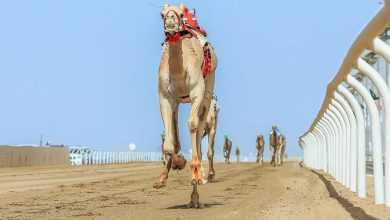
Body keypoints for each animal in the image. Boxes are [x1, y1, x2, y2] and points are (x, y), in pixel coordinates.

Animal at [154, 3, 218, 208]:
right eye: (161, 14)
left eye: (181, 14)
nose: (171, 22)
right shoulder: (165, 98)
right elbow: (170, 143)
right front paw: (172, 167)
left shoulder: (197, 92)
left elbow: (192, 125)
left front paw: (196, 173)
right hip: (179, 103)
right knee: (178, 134)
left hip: (207, 95)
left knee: (198, 130)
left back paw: (199, 181)